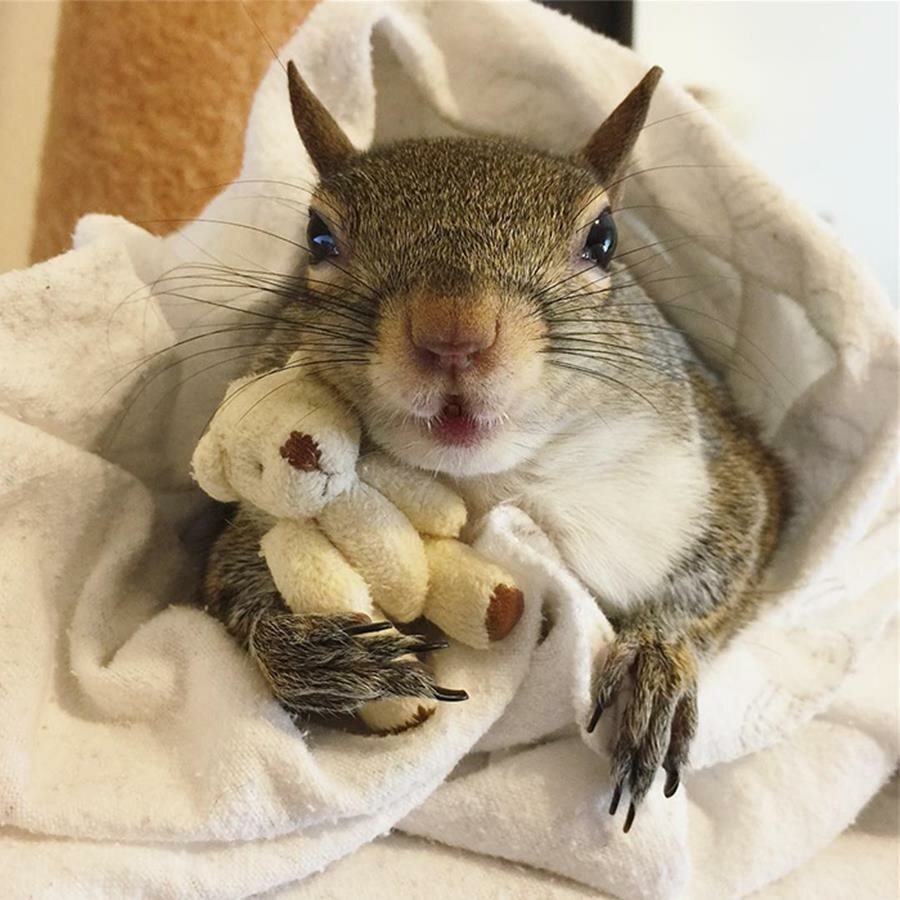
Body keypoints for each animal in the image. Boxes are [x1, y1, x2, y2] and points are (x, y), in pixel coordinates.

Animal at [202, 63, 788, 832]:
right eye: (318, 237)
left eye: (604, 237)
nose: (453, 331)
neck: (487, 487)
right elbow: (228, 592)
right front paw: (313, 655)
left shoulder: (723, 474)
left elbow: (726, 568)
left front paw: (655, 659)